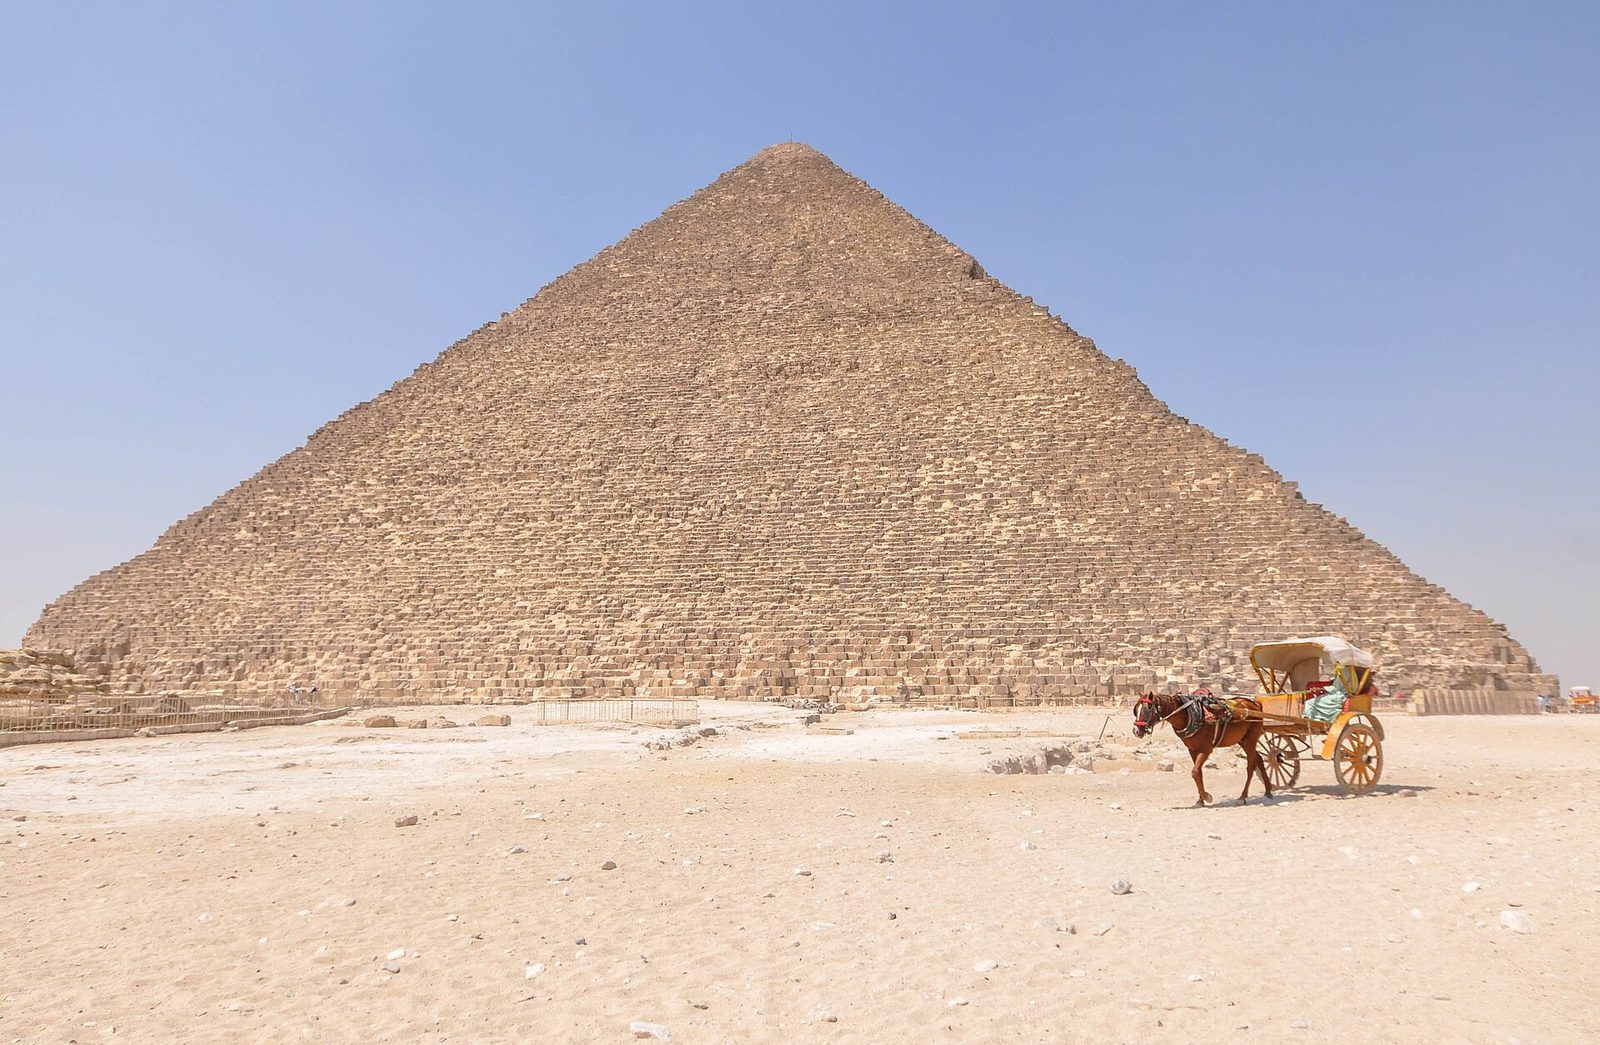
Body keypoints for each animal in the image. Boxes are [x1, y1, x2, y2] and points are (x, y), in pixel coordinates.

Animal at [1132, 691, 1273, 805]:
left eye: (1146, 709)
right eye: (1135, 710)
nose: (1136, 731)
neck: (1190, 715)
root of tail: (1256, 704)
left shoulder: (1206, 749)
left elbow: (1195, 772)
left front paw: (1206, 796)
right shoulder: (1192, 750)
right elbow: (1198, 773)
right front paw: (1201, 799)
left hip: (1251, 739)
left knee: (1251, 766)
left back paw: (1243, 797)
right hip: (1242, 740)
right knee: (1259, 758)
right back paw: (1268, 790)